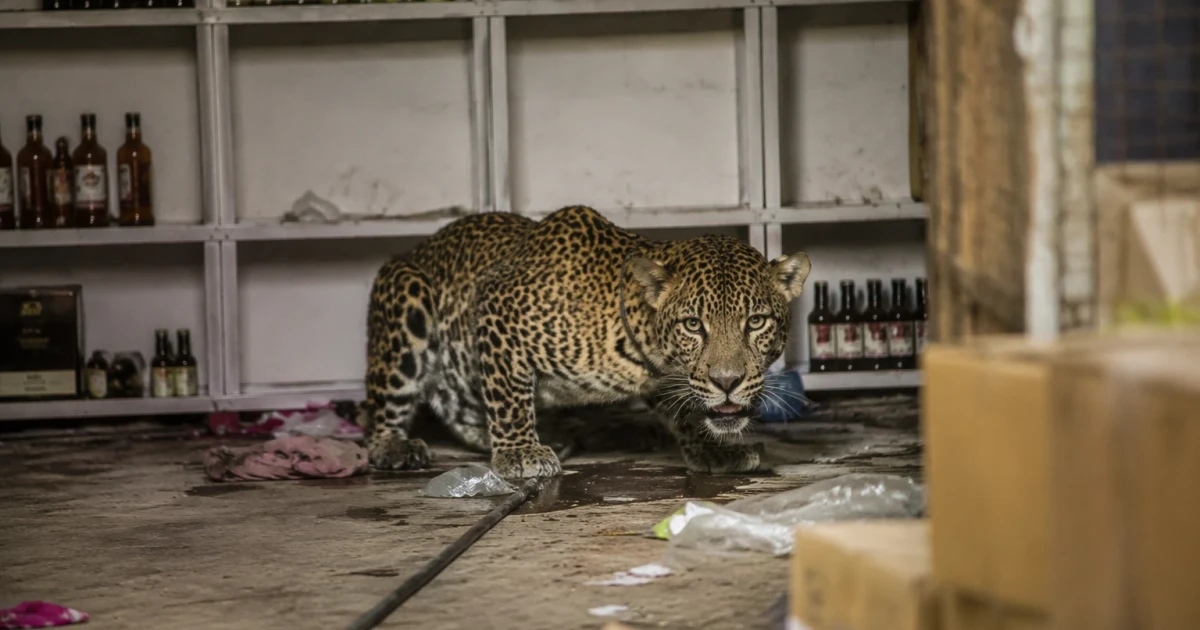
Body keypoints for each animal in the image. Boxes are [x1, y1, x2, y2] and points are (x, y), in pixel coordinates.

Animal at [361, 205, 811, 478]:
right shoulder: (496, 304)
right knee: (384, 408)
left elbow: (686, 409)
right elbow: (508, 395)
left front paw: (713, 451)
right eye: (693, 324)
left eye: (755, 322)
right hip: (407, 296)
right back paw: (394, 446)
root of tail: (419, 248)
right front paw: (519, 452)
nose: (727, 381)